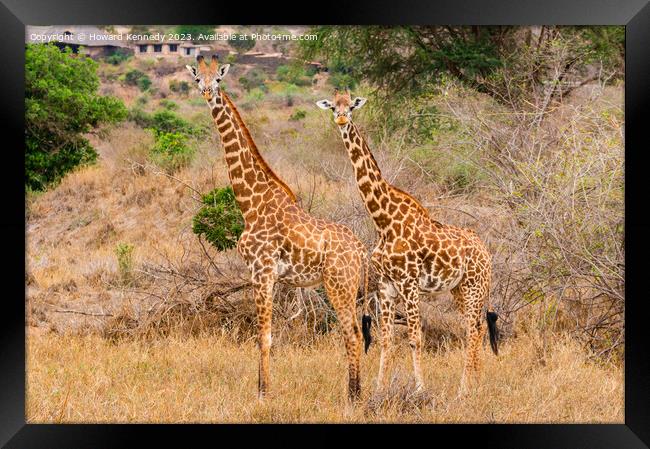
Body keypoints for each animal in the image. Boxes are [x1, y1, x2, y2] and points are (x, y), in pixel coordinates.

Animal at [186, 56, 370, 400]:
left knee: (351, 332)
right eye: (197, 79)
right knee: (354, 331)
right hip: (348, 286)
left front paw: (263, 393)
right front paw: (263, 388)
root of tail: (362, 249)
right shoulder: (266, 275)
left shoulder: (262, 270)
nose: (206, 93)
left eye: (218, 79)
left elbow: (264, 335)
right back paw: (355, 391)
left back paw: (353, 396)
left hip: (338, 283)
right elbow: (266, 334)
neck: (250, 203)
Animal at [314, 90, 496, 392]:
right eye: (332, 106)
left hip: (474, 287)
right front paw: (378, 389)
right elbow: (386, 340)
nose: (340, 118)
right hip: (459, 290)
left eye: (351, 106)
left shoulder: (409, 285)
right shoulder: (386, 287)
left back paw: (463, 389)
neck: (383, 221)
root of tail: (486, 252)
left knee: (473, 329)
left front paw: (420, 388)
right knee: (478, 327)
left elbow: (414, 337)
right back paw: (477, 383)